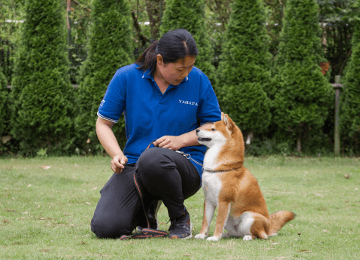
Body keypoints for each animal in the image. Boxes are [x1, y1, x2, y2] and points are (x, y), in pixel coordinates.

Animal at [195, 112, 294, 241]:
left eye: (213, 129)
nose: (196, 130)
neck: (222, 168)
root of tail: (269, 227)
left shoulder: (224, 201)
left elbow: (218, 223)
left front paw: (215, 238)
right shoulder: (208, 200)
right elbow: (205, 222)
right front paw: (202, 235)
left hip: (250, 217)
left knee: (261, 235)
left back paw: (248, 237)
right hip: (230, 220)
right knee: (236, 233)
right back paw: (226, 235)